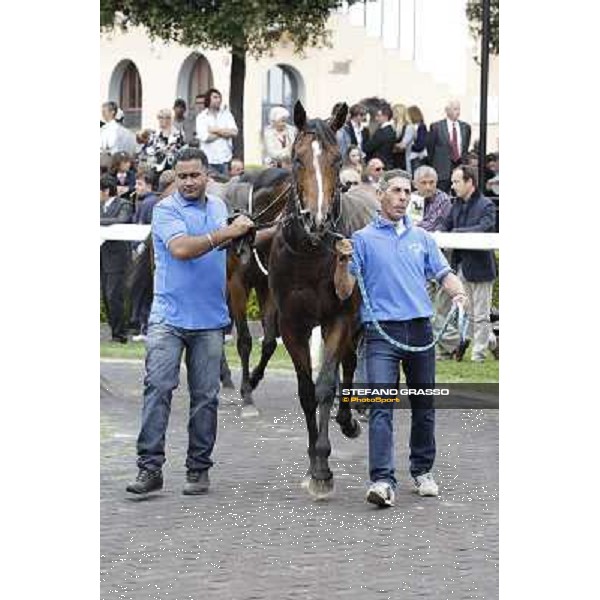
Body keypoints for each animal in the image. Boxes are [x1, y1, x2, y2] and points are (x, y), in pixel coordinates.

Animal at [268, 101, 378, 500]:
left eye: (335, 159)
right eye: (297, 159)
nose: (316, 220)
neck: (310, 251)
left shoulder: (339, 318)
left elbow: (327, 384)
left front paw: (322, 466)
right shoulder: (292, 323)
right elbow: (306, 392)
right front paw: (313, 464)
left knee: (349, 362)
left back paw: (348, 420)